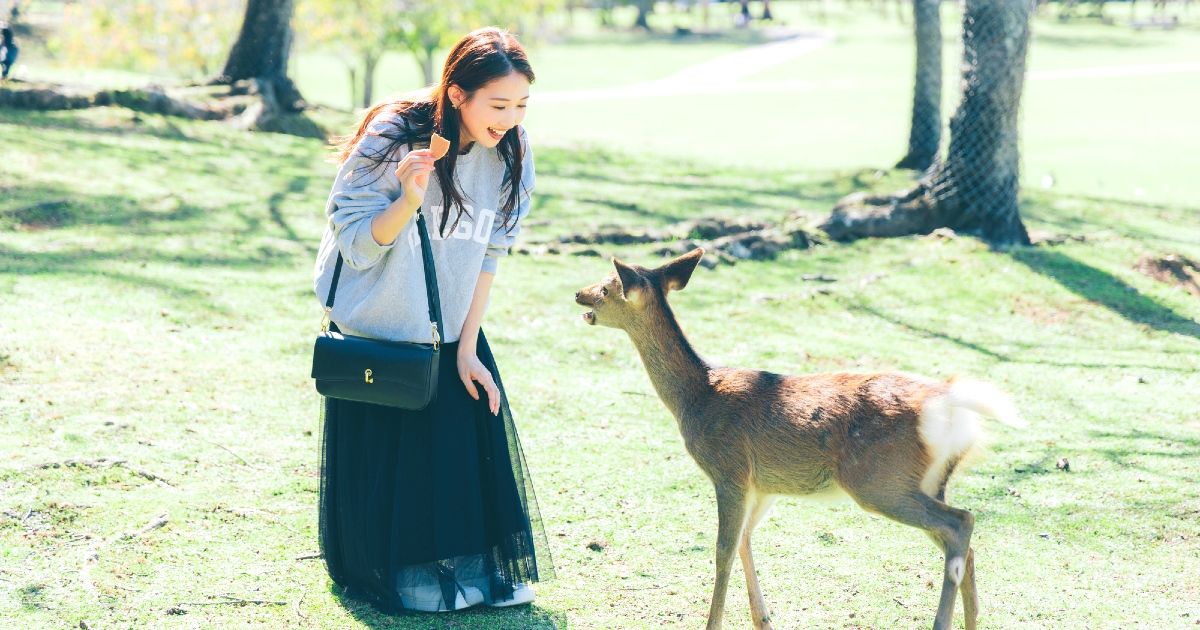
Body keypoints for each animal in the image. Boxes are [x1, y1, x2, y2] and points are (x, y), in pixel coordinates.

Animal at [576, 247, 1027, 628]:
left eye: (608, 287)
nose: (578, 293)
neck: (696, 397)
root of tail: (950, 404)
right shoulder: (763, 485)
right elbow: (745, 541)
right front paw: (763, 619)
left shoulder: (729, 469)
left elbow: (723, 550)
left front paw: (714, 623)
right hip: (930, 480)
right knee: (961, 541)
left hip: (879, 480)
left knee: (961, 522)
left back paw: (942, 623)